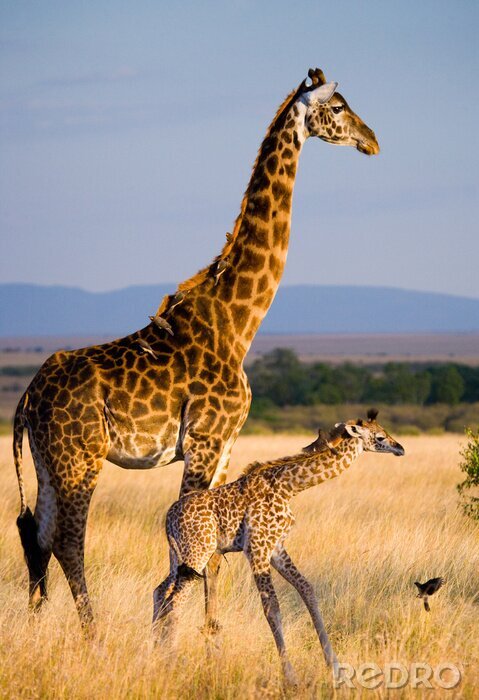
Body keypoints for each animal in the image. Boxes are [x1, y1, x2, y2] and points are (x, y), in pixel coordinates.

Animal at [13, 68, 380, 629]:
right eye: (338, 107)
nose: (372, 141)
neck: (238, 323)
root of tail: (27, 396)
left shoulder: (226, 444)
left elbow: (213, 552)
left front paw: (210, 635)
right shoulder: (204, 440)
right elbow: (188, 545)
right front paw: (172, 633)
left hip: (47, 458)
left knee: (37, 535)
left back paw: (37, 626)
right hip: (80, 456)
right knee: (69, 542)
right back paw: (93, 635)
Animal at [152, 410, 404, 686]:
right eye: (380, 437)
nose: (400, 448)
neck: (289, 486)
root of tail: (168, 518)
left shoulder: (276, 549)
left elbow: (307, 590)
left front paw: (334, 665)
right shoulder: (257, 547)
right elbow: (271, 607)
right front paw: (290, 676)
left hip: (179, 556)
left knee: (160, 592)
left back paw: (152, 651)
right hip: (198, 553)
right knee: (175, 601)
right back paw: (172, 662)